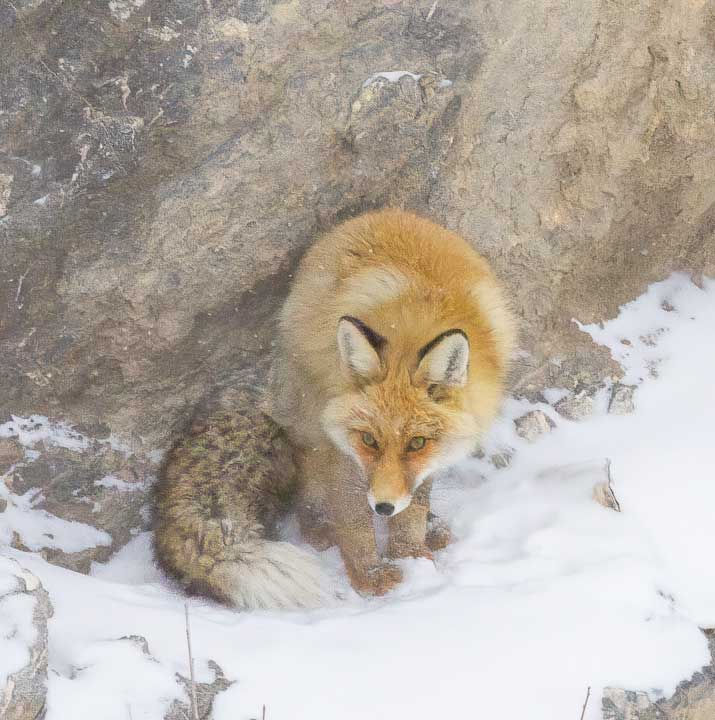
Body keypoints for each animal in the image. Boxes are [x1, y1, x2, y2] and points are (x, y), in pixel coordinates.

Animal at [153, 208, 515, 608]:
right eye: (369, 440)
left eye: (417, 443)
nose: (383, 507)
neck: (416, 321)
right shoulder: (340, 446)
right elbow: (354, 521)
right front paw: (371, 575)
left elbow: (415, 503)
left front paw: (410, 553)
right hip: (308, 418)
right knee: (310, 488)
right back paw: (322, 529)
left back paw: (430, 526)